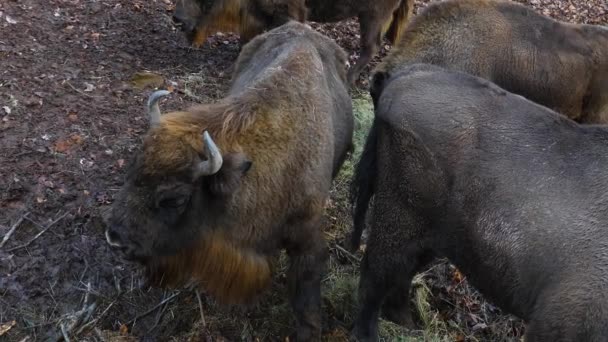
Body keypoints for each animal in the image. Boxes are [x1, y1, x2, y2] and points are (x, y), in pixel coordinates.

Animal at [173, 0, 416, 83]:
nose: (176, 18)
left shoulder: (287, 13)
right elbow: (248, 40)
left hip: (372, 16)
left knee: (371, 46)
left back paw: (349, 77)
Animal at [350, 62, 608, 340]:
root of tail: (400, 78)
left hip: (431, 238)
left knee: (400, 275)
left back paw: (407, 324)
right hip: (399, 221)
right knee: (375, 274)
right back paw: (368, 333)